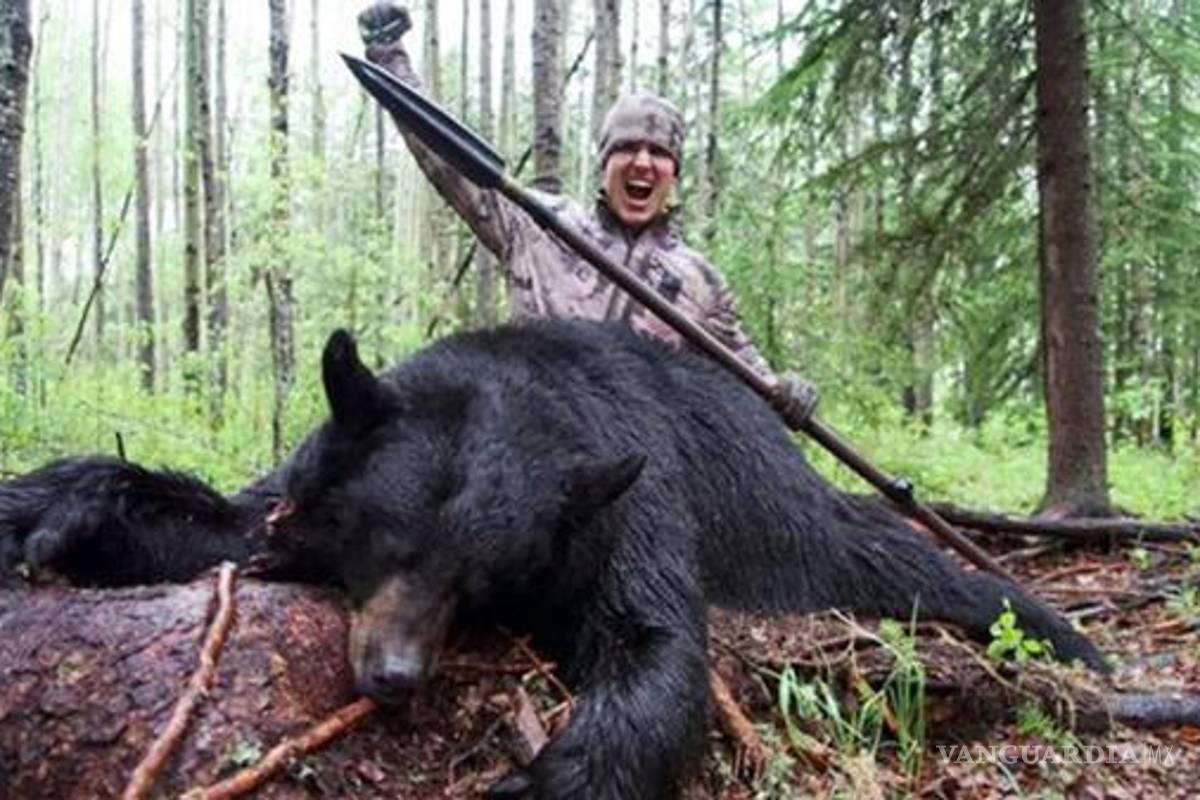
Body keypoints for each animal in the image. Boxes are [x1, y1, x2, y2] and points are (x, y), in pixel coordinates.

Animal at [0, 320, 1107, 800]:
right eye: (386, 542)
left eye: (479, 579)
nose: (392, 674)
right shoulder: (307, 488)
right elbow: (235, 519)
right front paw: (56, 517)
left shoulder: (630, 495)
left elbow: (655, 646)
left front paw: (543, 779)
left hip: (813, 529)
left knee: (930, 570)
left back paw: (1074, 642)